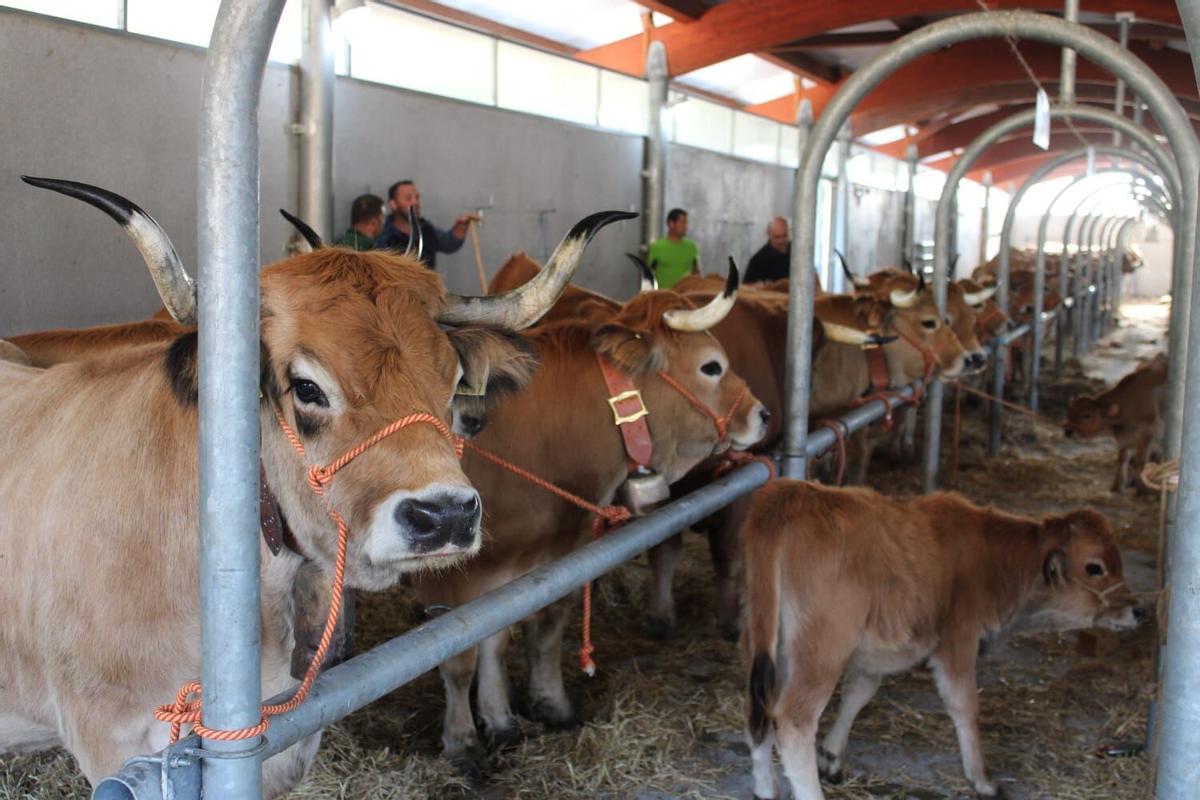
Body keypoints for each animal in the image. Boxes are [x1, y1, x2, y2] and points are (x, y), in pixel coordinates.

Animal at [409, 261, 772, 776]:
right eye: (711, 366)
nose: (763, 415)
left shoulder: (552, 553)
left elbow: (524, 635)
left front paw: (524, 712)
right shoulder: (452, 572)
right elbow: (458, 659)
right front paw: (462, 743)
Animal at [742, 480, 1143, 800]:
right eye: (1095, 567)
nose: (1138, 609)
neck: (994, 558)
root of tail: (789, 495)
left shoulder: (875, 649)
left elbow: (859, 692)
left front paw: (831, 756)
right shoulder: (958, 642)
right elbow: (965, 706)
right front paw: (982, 779)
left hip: (773, 644)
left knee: (761, 706)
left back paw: (765, 787)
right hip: (821, 651)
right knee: (792, 719)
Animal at [1065, 352, 1167, 492]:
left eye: (1087, 415)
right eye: (1069, 411)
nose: (1068, 431)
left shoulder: (1148, 433)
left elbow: (1141, 461)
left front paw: (1140, 488)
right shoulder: (1124, 439)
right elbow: (1122, 459)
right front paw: (1117, 485)